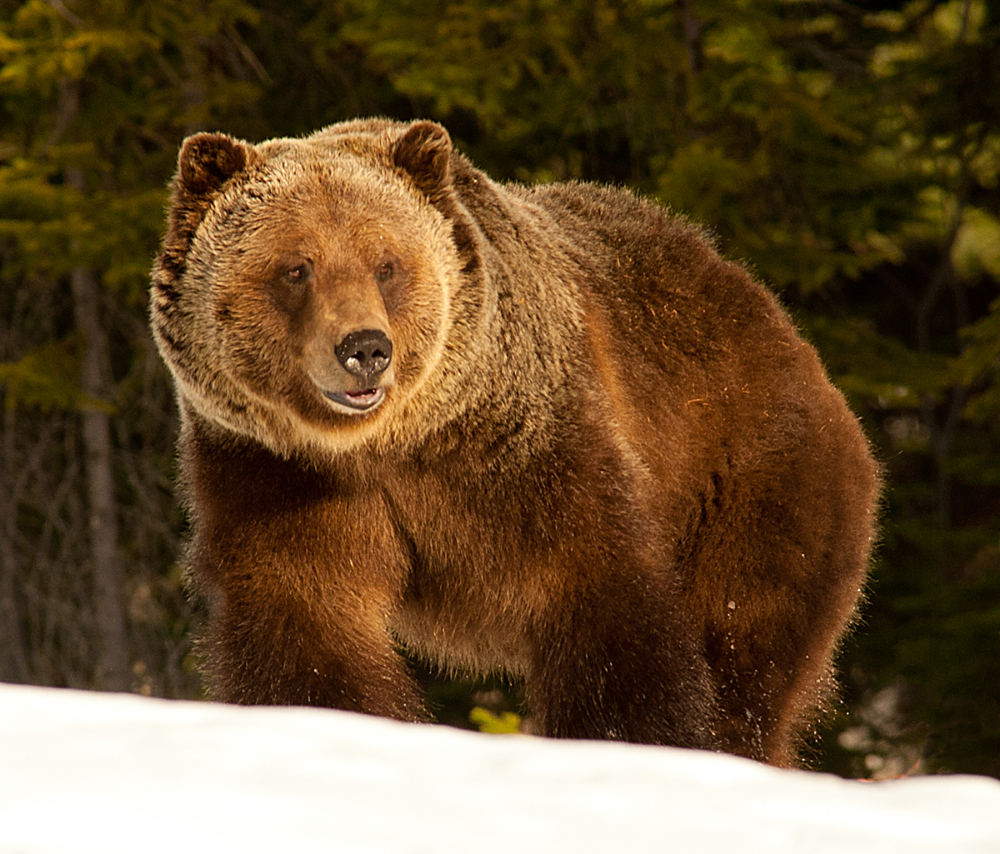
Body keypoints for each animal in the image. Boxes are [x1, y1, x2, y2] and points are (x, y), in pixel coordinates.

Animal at [152, 117, 880, 764]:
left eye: (386, 264)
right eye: (296, 268)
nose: (365, 349)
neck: (392, 445)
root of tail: (776, 319)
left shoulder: (528, 453)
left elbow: (604, 602)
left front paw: (629, 737)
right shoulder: (276, 477)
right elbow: (306, 620)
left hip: (753, 475)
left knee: (746, 638)